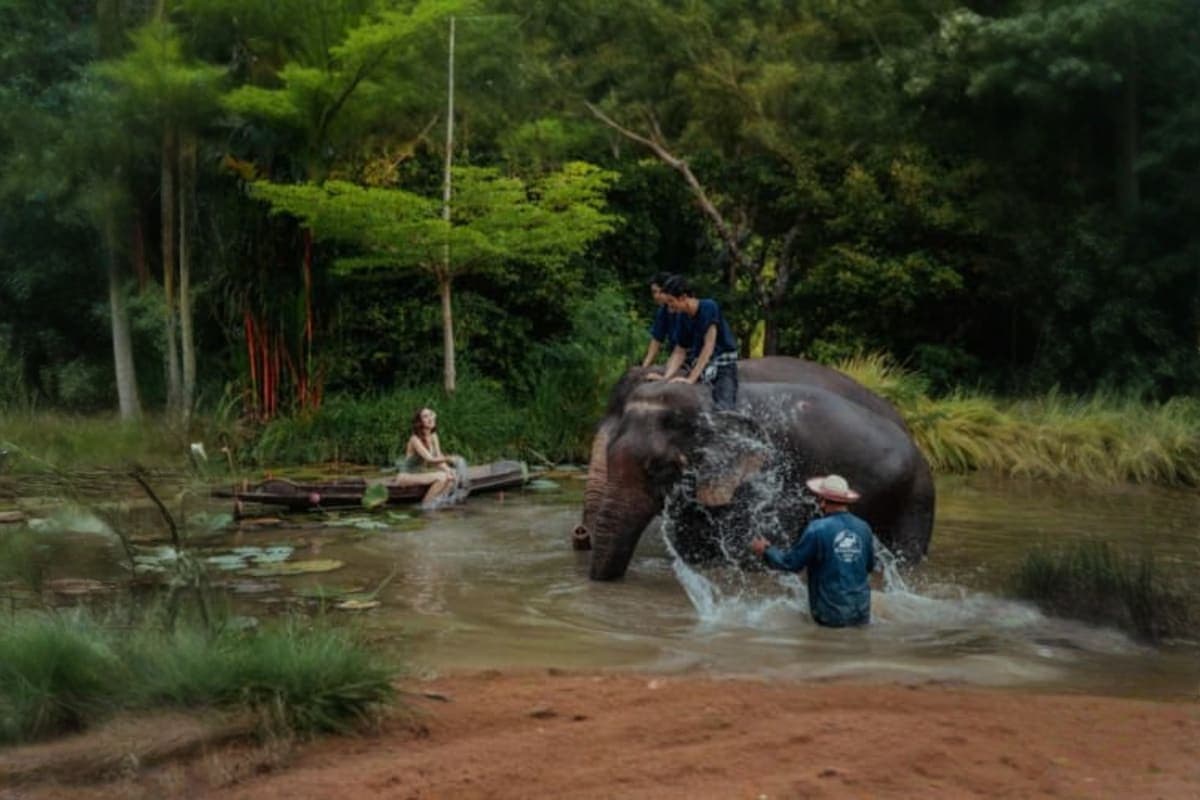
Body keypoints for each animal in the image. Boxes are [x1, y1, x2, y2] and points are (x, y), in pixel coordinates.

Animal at [584, 379, 935, 581]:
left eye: (658, 467)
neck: (709, 401)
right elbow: (694, 547)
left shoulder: (773, 474)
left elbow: (753, 551)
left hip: (917, 498)